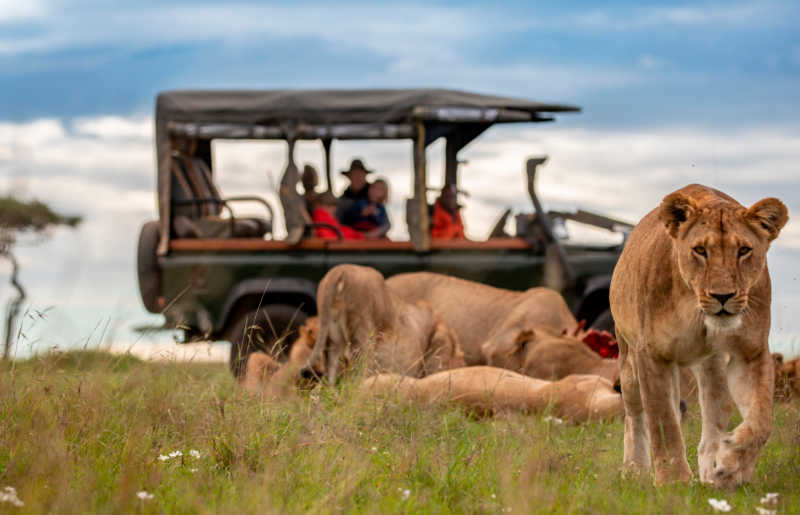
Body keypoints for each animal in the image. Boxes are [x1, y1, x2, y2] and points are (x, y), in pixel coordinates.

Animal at [609, 184, 787, 487]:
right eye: (700, 250)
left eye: (743, 250)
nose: (722, 296)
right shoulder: (652, 354)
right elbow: (663, 421)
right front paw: (672, 481)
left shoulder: (750, 353)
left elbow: (761, 422)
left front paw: (731, 465)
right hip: (629, 361)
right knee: (635, 416)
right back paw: (635, 469)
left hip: (713, 366)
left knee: (714, 416)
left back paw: (710, 470)